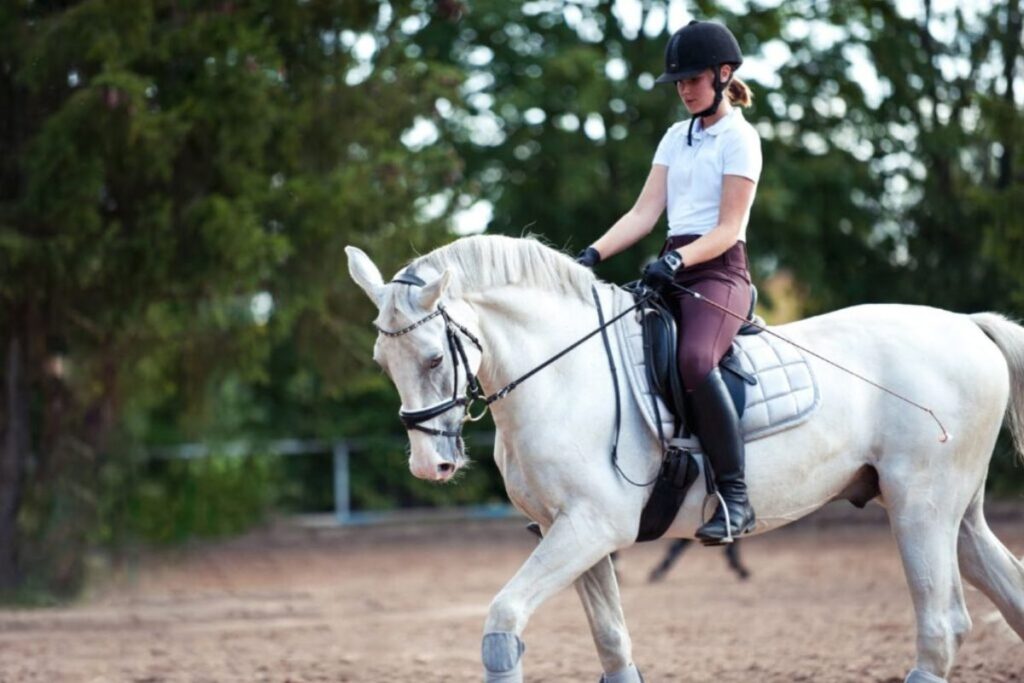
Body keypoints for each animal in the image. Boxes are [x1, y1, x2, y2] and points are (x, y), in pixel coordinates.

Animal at [348, 235, 1024, 683]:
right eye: (381, 363)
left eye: (435, 358)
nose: (429, 466)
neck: (563, 374)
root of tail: (968, 325)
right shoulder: (566, 530)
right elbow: (612, 641)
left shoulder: (589, 527)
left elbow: (504, 620)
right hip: (953, 514)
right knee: (1004, 594)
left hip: (920, 509)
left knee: (942, 626)